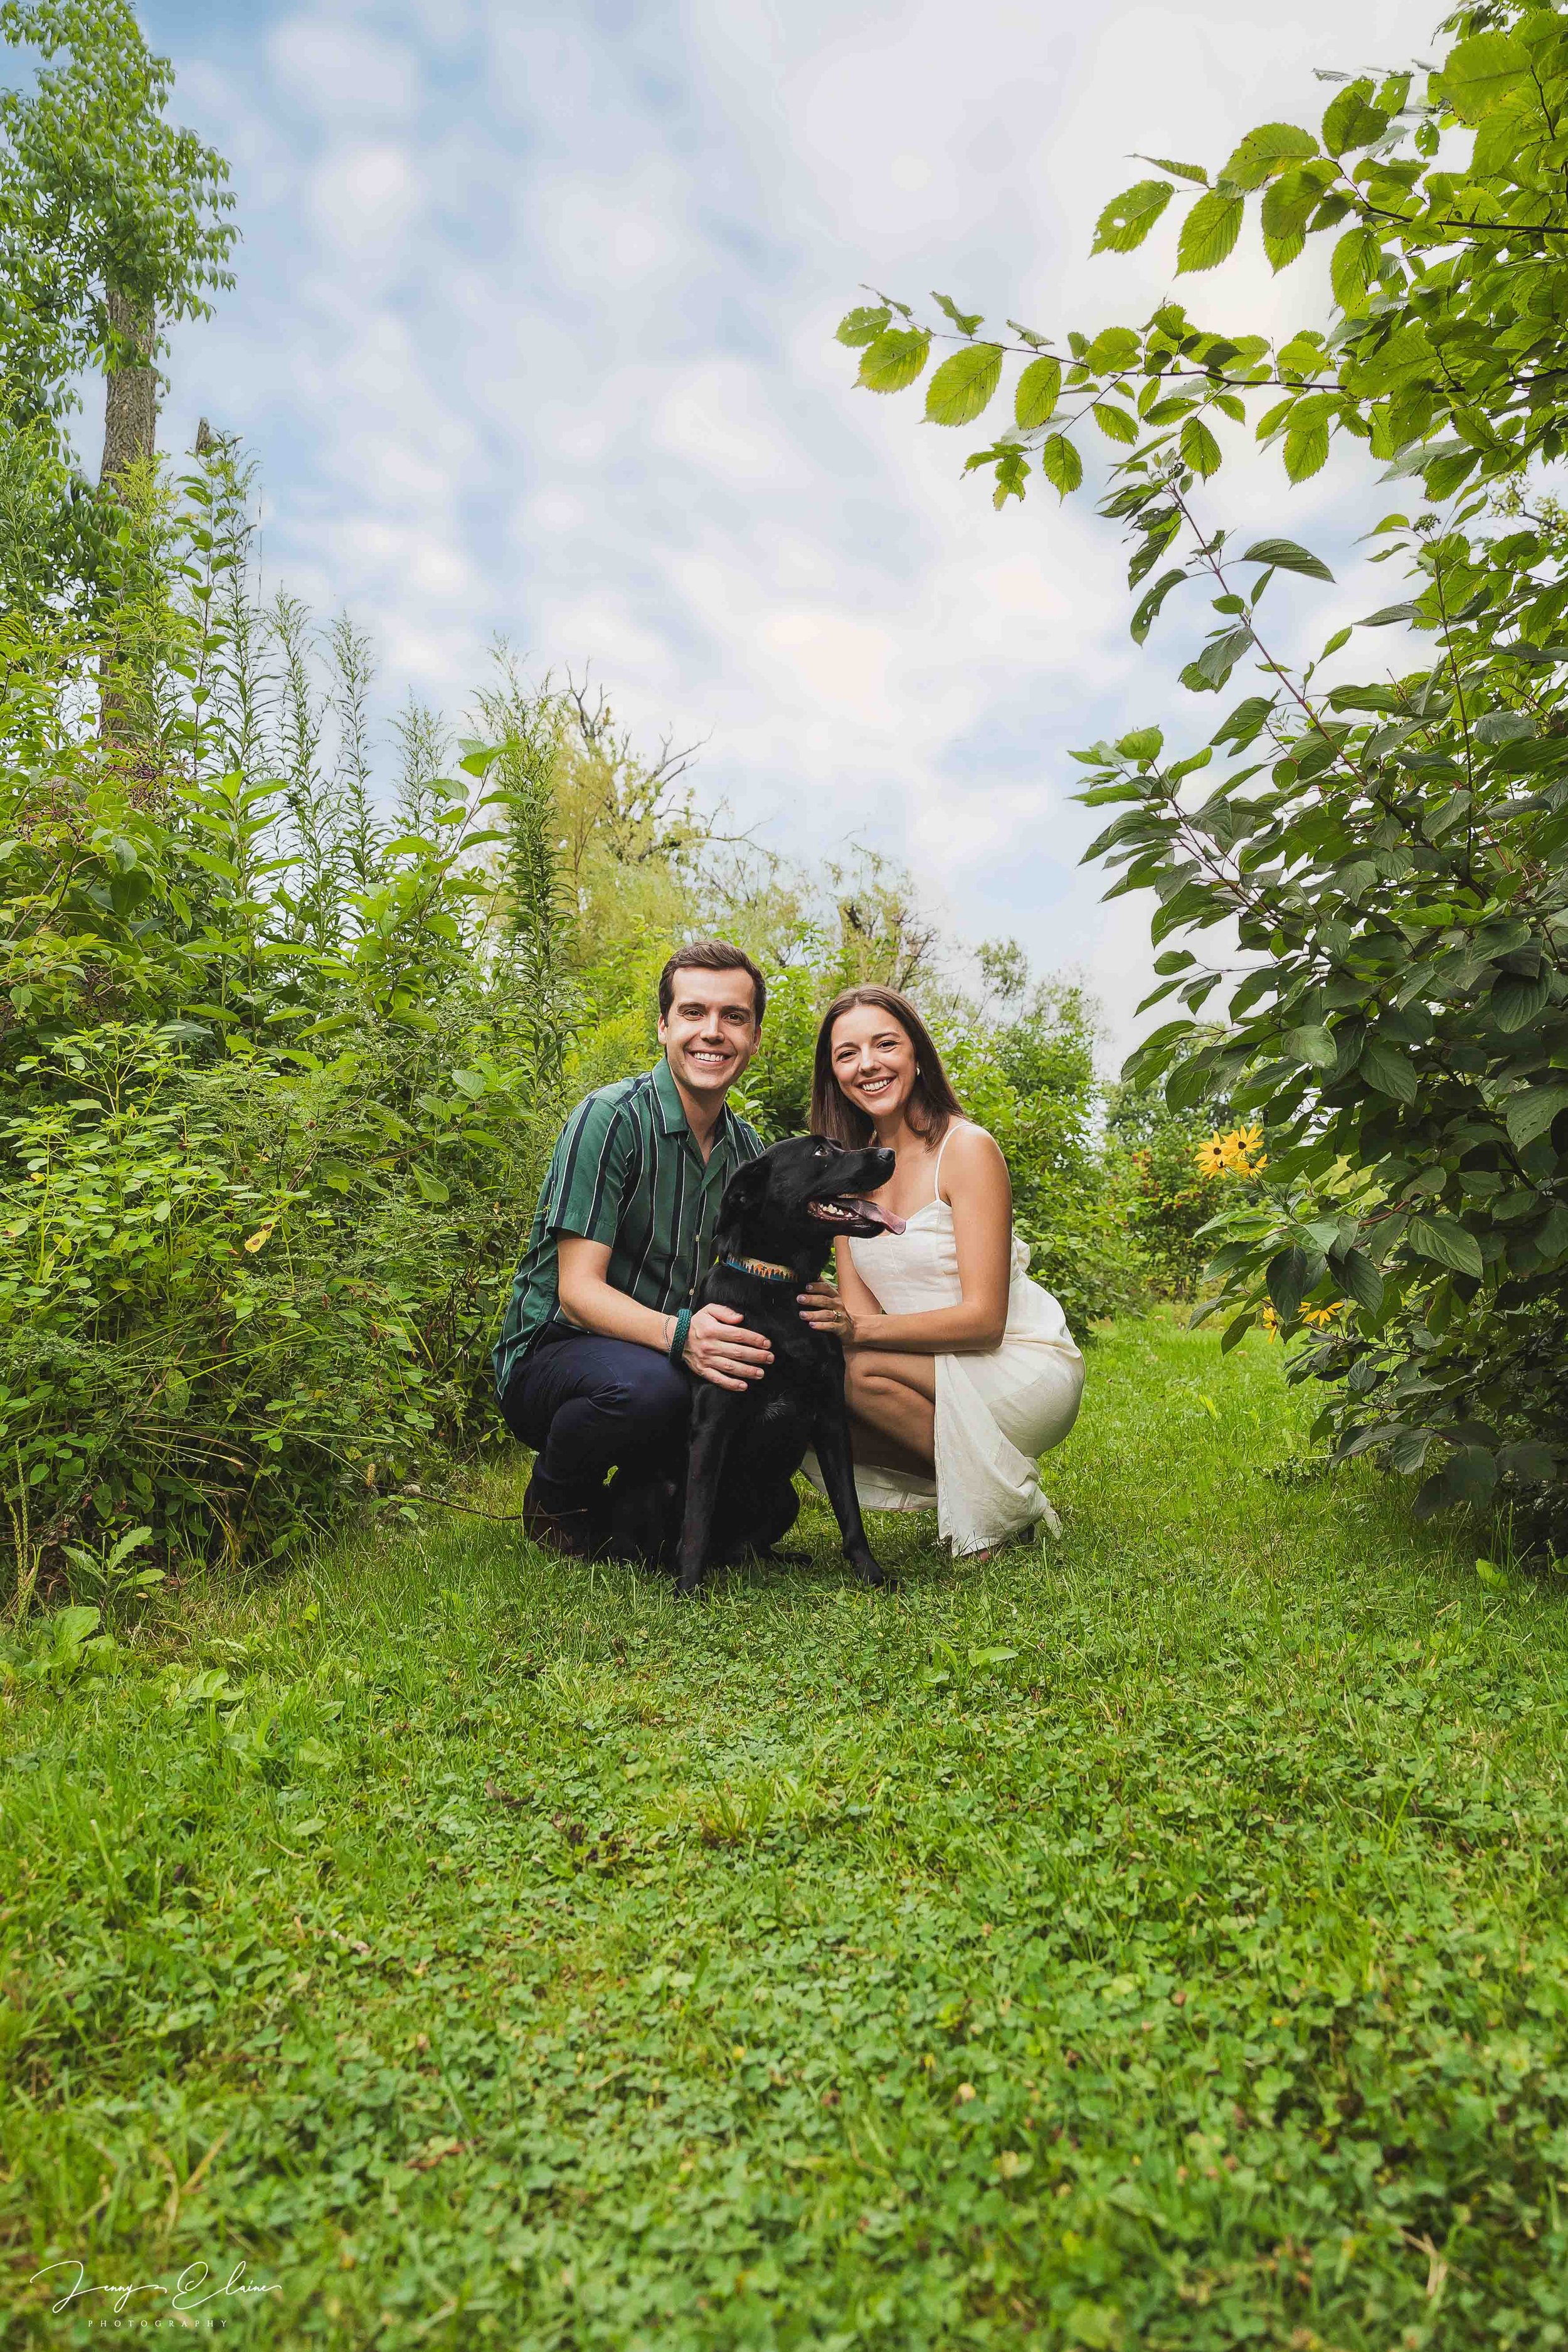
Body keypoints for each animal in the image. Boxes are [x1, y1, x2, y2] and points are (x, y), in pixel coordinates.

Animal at [611, 1138, 907, 1599]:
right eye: (820, 1153)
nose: (889, 1154)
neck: (777, 1289)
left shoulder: (830, 1418)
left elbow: (849, 1509)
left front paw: (871, 1573)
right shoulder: (713, 1422)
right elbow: (697, 1519)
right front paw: (688, 1590)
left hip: (786, 1497)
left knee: (747, 1549)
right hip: (659, 1489)